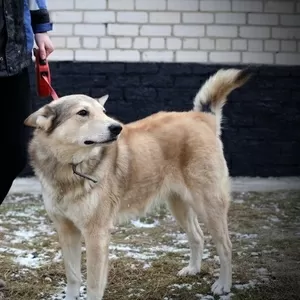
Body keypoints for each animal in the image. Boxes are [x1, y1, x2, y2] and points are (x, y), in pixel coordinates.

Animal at [24, 68, 251, 300]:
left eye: (104, 111)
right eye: (83, 113)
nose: (117, 128)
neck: (68, 168)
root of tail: (202, 117)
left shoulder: (96, 235)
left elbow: (94, 285)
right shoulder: (66, 230)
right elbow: (73, 277)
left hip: (209, 204)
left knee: (226, 246)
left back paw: (223, 285)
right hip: (179, 205)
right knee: (197, 236)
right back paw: (193, 269)